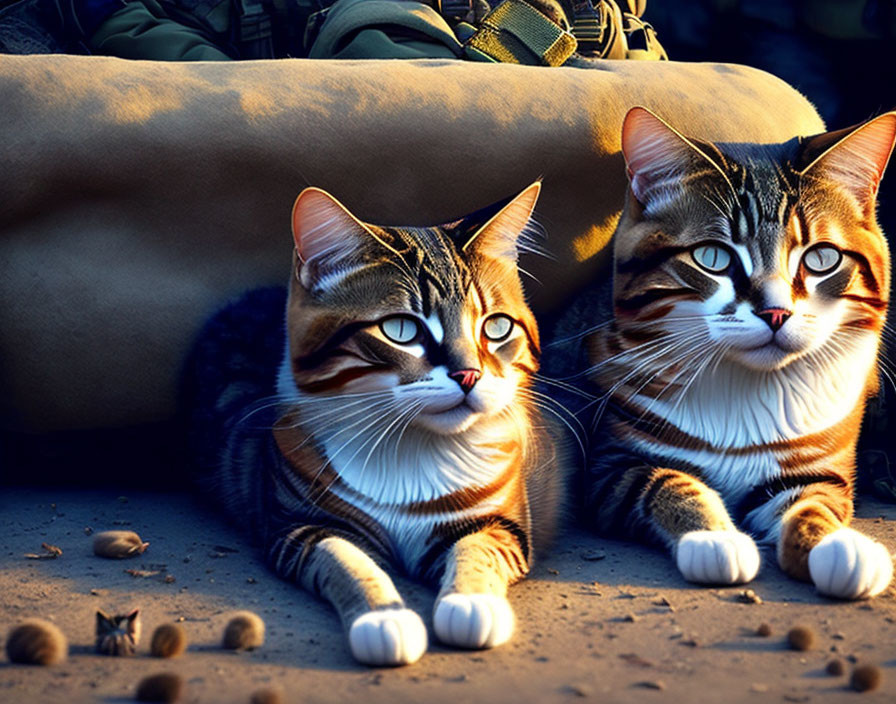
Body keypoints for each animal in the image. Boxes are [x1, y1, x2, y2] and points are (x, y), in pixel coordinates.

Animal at [183, 183, 564, 664]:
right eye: (401, 329)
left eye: (496, 327)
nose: (469, 375)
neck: (412, 451)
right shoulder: (301, 526)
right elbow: (348, 563)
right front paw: (385, 620)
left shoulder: (499, 523)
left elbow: (476, 551)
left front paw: (472, 604)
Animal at [544, 107, 896, 596]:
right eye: (712, 257)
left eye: (821, 258)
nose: (775, 312)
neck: (743, 388)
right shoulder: (612, 465)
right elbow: (669, 484)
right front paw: (715, 539)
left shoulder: (813, 467)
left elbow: (814, 504)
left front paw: (839, 546)